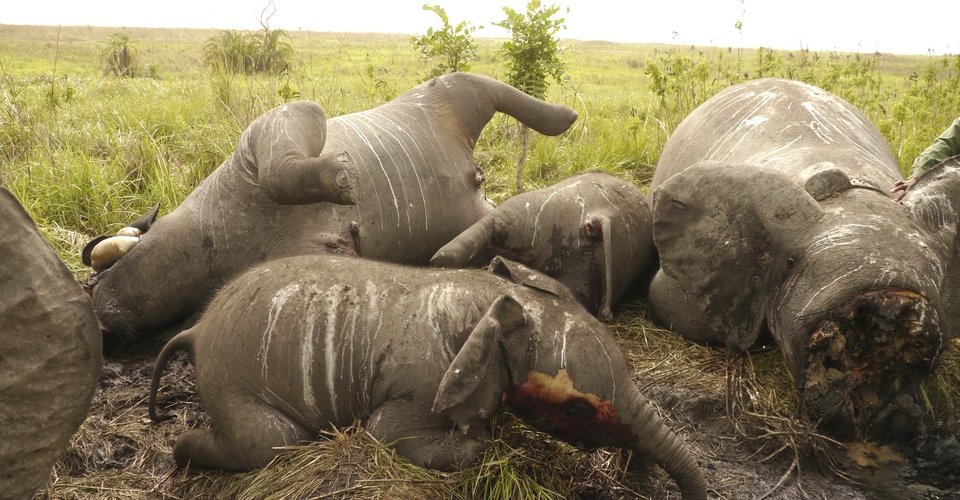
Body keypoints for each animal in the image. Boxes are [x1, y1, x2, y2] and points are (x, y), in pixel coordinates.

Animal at [86, 72, 578, 347]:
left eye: (98, 271)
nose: (100, 323)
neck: (217, 235)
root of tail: (472, 172)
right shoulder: (319, 256)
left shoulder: (286, 119)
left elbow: (283, 173)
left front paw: (341, 178)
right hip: (476, 198)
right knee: (488, 226)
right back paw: (452, 253)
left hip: (456, 88)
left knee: (513, 99)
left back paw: (565, 115)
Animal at [148, 254, 707, 499]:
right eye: (576, 407)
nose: (637, 472)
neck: (488, 300)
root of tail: (195, 330)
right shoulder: (421, 384)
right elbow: (387, 433)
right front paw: (485, 439)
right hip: (229, 379)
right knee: (272, 441)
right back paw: (179, 457)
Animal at [429, 171, 655, 320]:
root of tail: (600, 214)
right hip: (599, 267)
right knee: (576, 293)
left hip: (527, 212)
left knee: (485, 229)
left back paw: (438, 261)